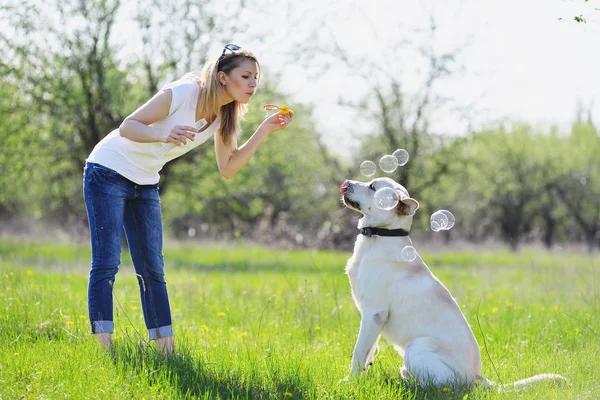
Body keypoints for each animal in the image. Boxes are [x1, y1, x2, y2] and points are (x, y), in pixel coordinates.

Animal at [340, 177, 564, 390]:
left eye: (372, 186)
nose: (346, 183)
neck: (381, 235)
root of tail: (477, 378)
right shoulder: (371, 317)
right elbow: (369, 350)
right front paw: (363, 374)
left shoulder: (374, 313)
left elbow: (358, 351)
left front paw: (350, 381)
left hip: (416, 348)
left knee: (439, 385)